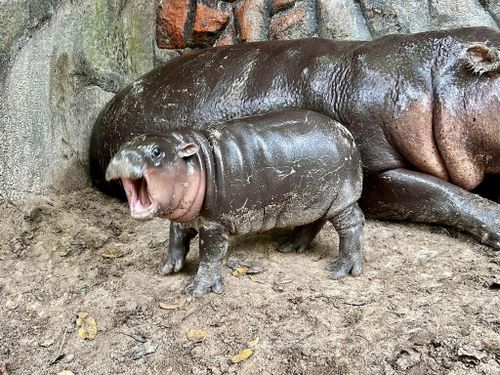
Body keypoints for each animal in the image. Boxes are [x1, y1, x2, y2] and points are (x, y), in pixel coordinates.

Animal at [105, 110, 364, 296]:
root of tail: (347, 133)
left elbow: (210, 254)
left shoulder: (214, 224)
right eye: (122, 147)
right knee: (313, 222)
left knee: (353, 224)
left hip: (342, 198)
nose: (122, 158)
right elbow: (176, 236)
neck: (198, 161)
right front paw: (168, 267)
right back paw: (289, 245)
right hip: (310, 202)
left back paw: (340, 269)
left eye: (156, 152)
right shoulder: (186, 214)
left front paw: (198, 289)